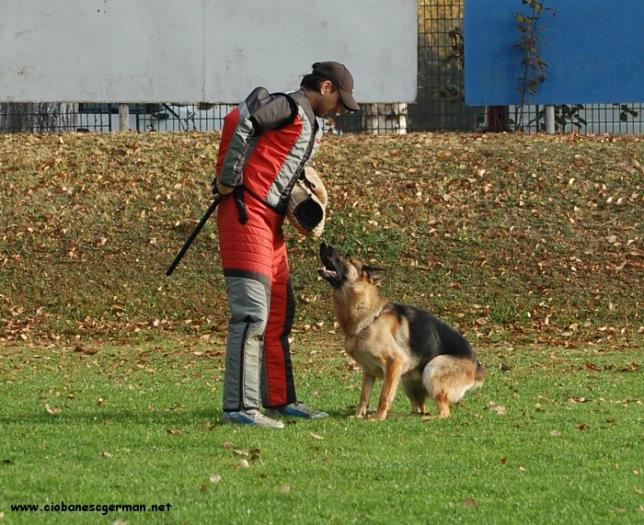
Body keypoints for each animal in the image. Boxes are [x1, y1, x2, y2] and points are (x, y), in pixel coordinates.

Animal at [316, 244, 484, 420]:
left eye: (347, 256)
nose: (323, 244)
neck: (370, 316)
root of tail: (477, 367)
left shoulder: (394, 363)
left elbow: (384, 395)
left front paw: (378, 418)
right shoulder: (369, 372)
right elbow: (364, 396)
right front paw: (358, 416)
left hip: (432, 369)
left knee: (444, 412)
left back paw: (427, 418)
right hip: (408, 382)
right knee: (419, 408)